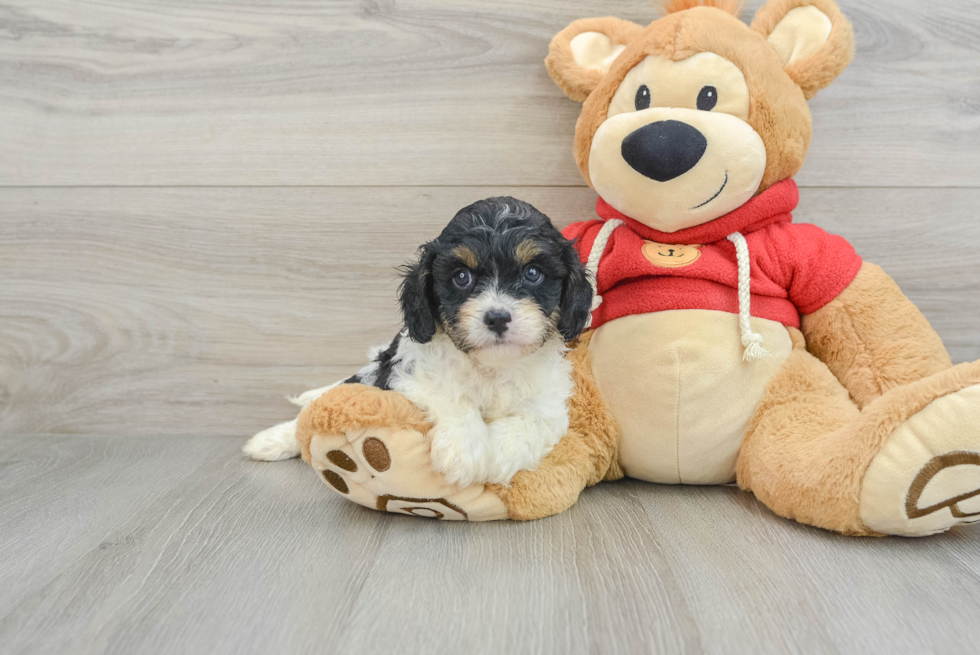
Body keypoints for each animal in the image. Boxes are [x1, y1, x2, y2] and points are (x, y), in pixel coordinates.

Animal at [247, 197, 596, 490]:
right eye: (462, 277)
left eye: (533, 273)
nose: (497, 318)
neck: (491, 367)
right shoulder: (406, 372)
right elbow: (451, 396)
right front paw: (464, 453)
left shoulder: (549, 401)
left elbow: (534, 422)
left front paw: (497, 456)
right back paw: (270, 441)